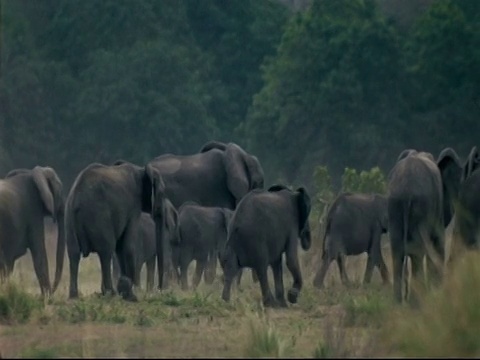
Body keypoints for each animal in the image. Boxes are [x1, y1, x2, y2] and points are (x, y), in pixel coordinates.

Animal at [65, 160, 167, 300]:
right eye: (162, 193)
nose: (159, 289)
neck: (141, 170)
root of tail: (76, 198)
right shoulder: (133, 206)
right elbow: (128, 245)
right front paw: (132, 290)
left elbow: (120, 248)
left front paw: (126, 288)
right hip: (99, 217)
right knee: (106, 251)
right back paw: (110, 293)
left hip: (69, 219)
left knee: (73, 253)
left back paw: (74, 296)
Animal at [388, 148, 464, 306]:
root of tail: (405, 188)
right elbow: (438, 244)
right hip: (421, 206)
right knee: (417, 251)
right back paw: (415, 303)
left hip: (394, 208)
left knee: (397, 251)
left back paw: (398, 303)